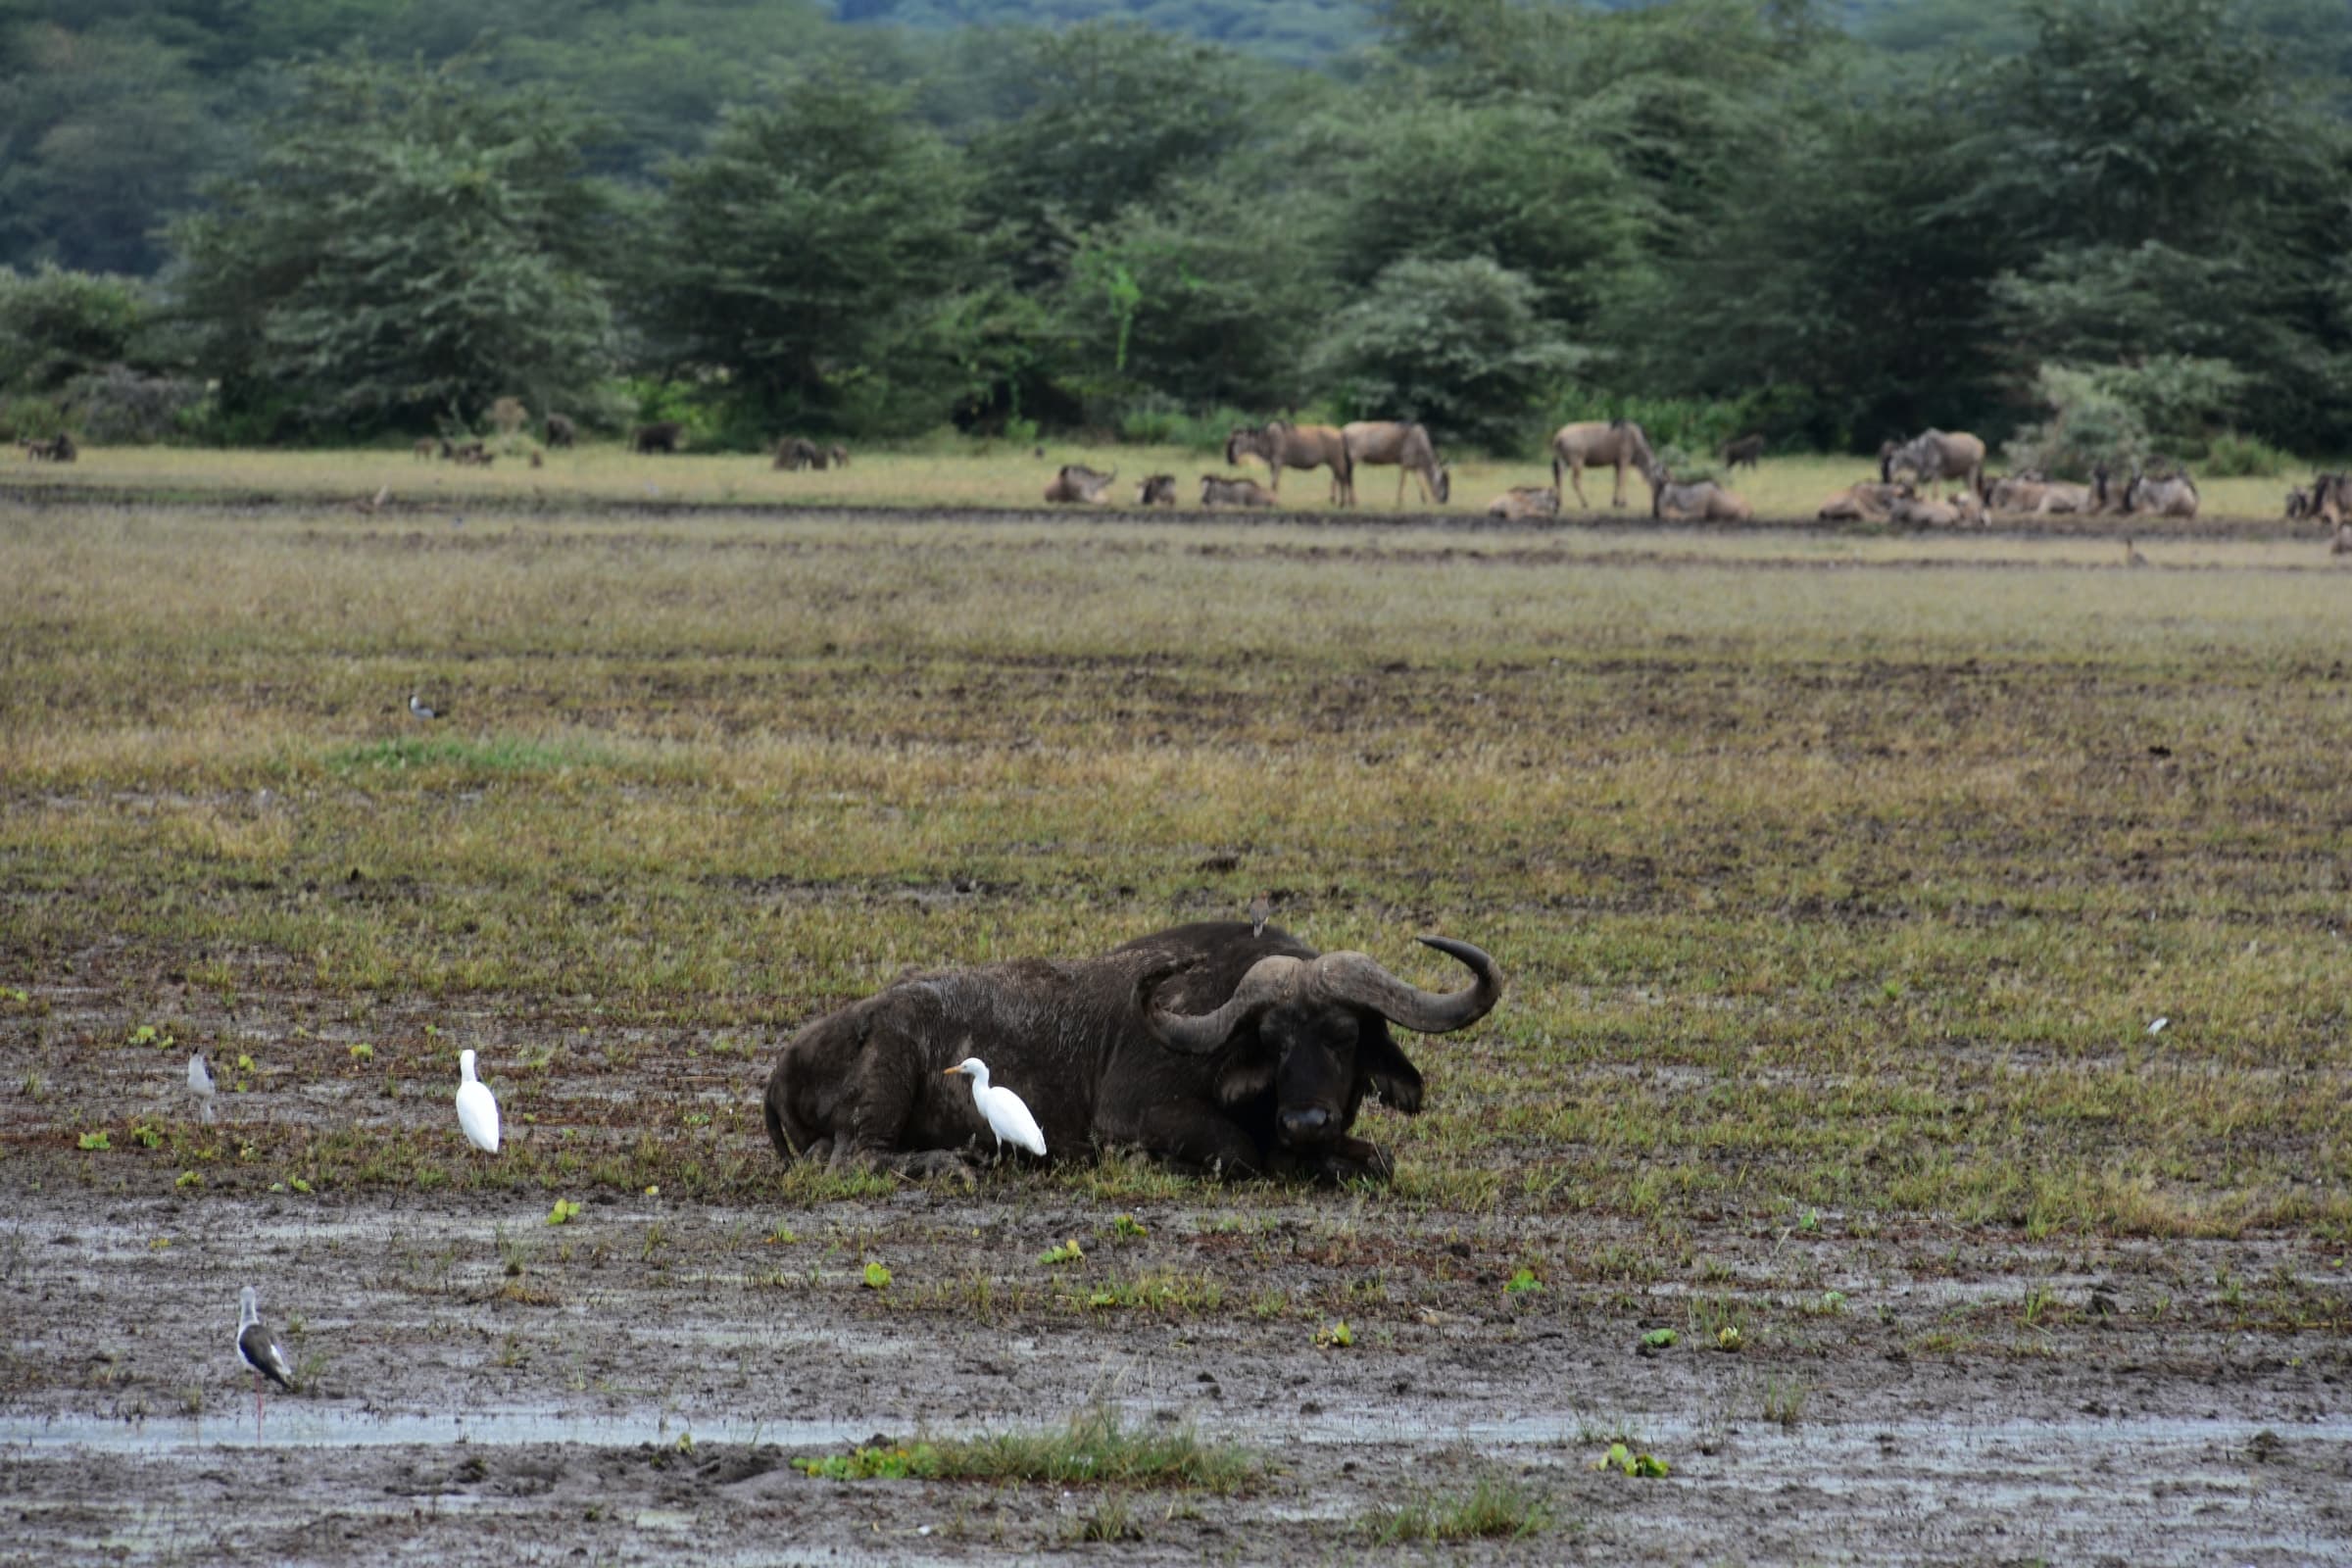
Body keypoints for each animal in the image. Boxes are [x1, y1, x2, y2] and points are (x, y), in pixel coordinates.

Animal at [760, 922, 1503, 1182]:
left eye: (1346, 1036)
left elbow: (1378, 1159)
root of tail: (786, 1059)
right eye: (1272, 1039)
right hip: (891, 1062)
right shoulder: (1134, 1118)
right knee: (854, 1156)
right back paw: (951, 1163)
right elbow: (1240, 1153)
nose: (1305, 1122)